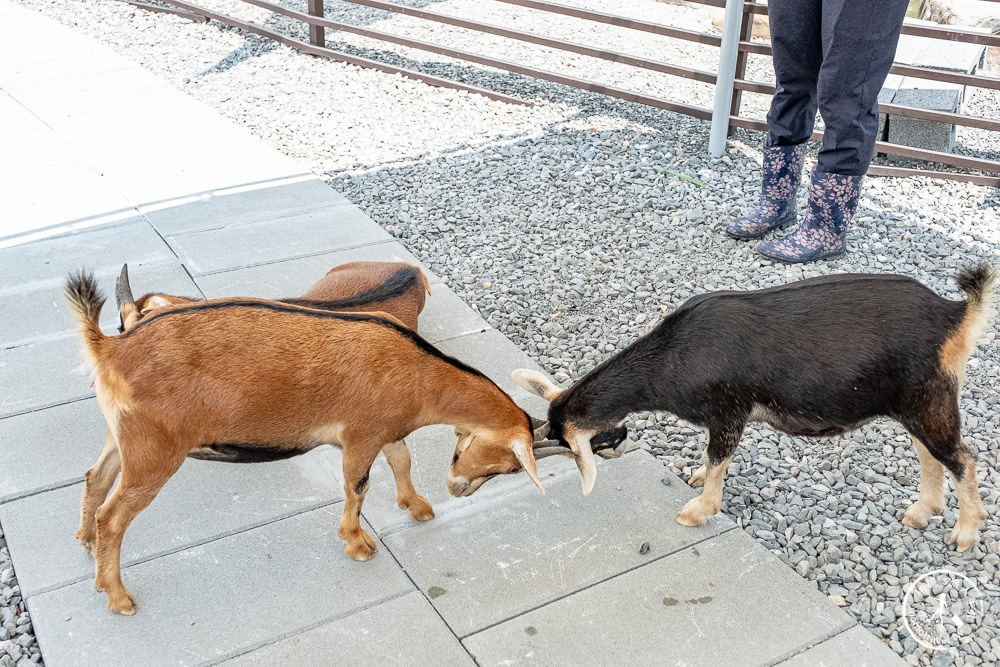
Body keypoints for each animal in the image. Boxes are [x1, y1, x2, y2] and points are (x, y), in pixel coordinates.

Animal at [66, 272, 544, 616]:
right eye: (510, 465)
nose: (457, 489)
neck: (420, 373)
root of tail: (108, 348)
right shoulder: (361, 435)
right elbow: (358, 487)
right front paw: (358, 544)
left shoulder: (386, 432)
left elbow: (402, 459)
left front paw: (418, 507)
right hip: (155, 451)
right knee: (115, 517)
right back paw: (117, 596)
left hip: (121, 436)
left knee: (95, 477)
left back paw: (86, 542)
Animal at [520, 266, 996, 552]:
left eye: (571, 444)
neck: (673, 356)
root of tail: (955, 314)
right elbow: (713, 458)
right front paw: (698, 478)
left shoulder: (729, 411)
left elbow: (718, 457)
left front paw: (699, 510)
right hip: (915, 403)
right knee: (930, 456)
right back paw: (920, 513)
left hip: (928, 399)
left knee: (963, 459)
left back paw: (965, 532)